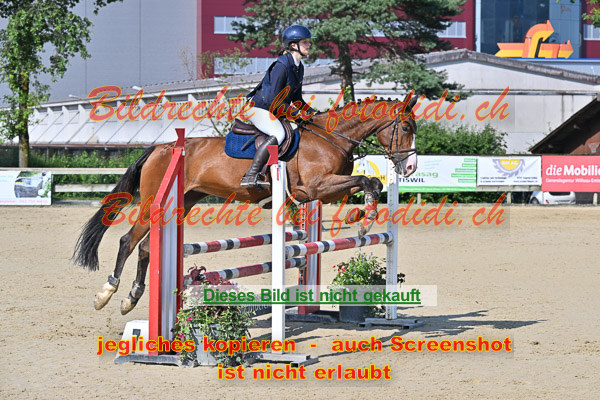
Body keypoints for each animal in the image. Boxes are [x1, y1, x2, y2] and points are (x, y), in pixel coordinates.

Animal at [72, 95, 419, 314]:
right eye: (405, 128)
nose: (411, 167)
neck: (330, 138)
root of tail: (162, 148)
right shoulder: (315, 187)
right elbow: (366, 181)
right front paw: (364, 218)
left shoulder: (323, 192)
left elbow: (371, 183)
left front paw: (362, 216)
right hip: (153, 202)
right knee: (128, 241)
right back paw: (107, 294)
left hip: (184, 201)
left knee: (145, 247)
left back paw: (131, 297)